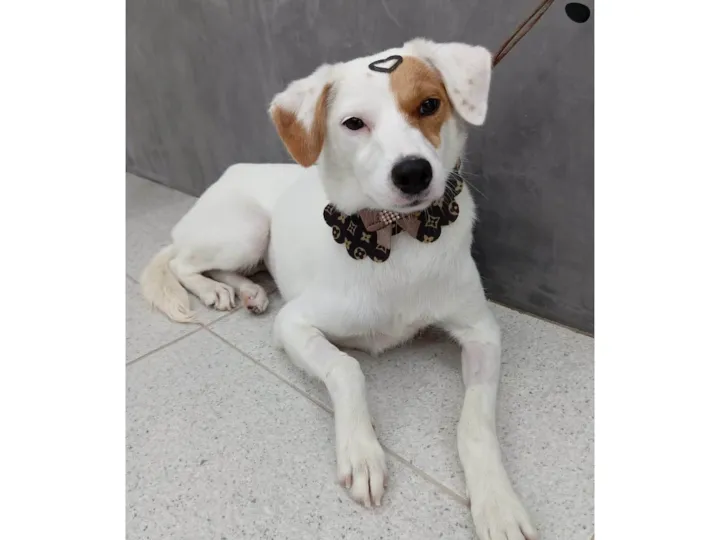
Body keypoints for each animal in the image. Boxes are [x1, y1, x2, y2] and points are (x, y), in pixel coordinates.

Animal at [140, 38, 537, 540]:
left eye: (429, 105)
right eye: (353, 123)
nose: (413, 173)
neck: (398, 235)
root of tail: (228, 174)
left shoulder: (482, 332)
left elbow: (476, 421)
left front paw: (496, 501)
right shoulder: (294, 324)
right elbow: (347, 368)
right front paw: (362, 451)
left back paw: (248, 292)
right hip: (244, 230)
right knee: (181, 262)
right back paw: (214, 292)